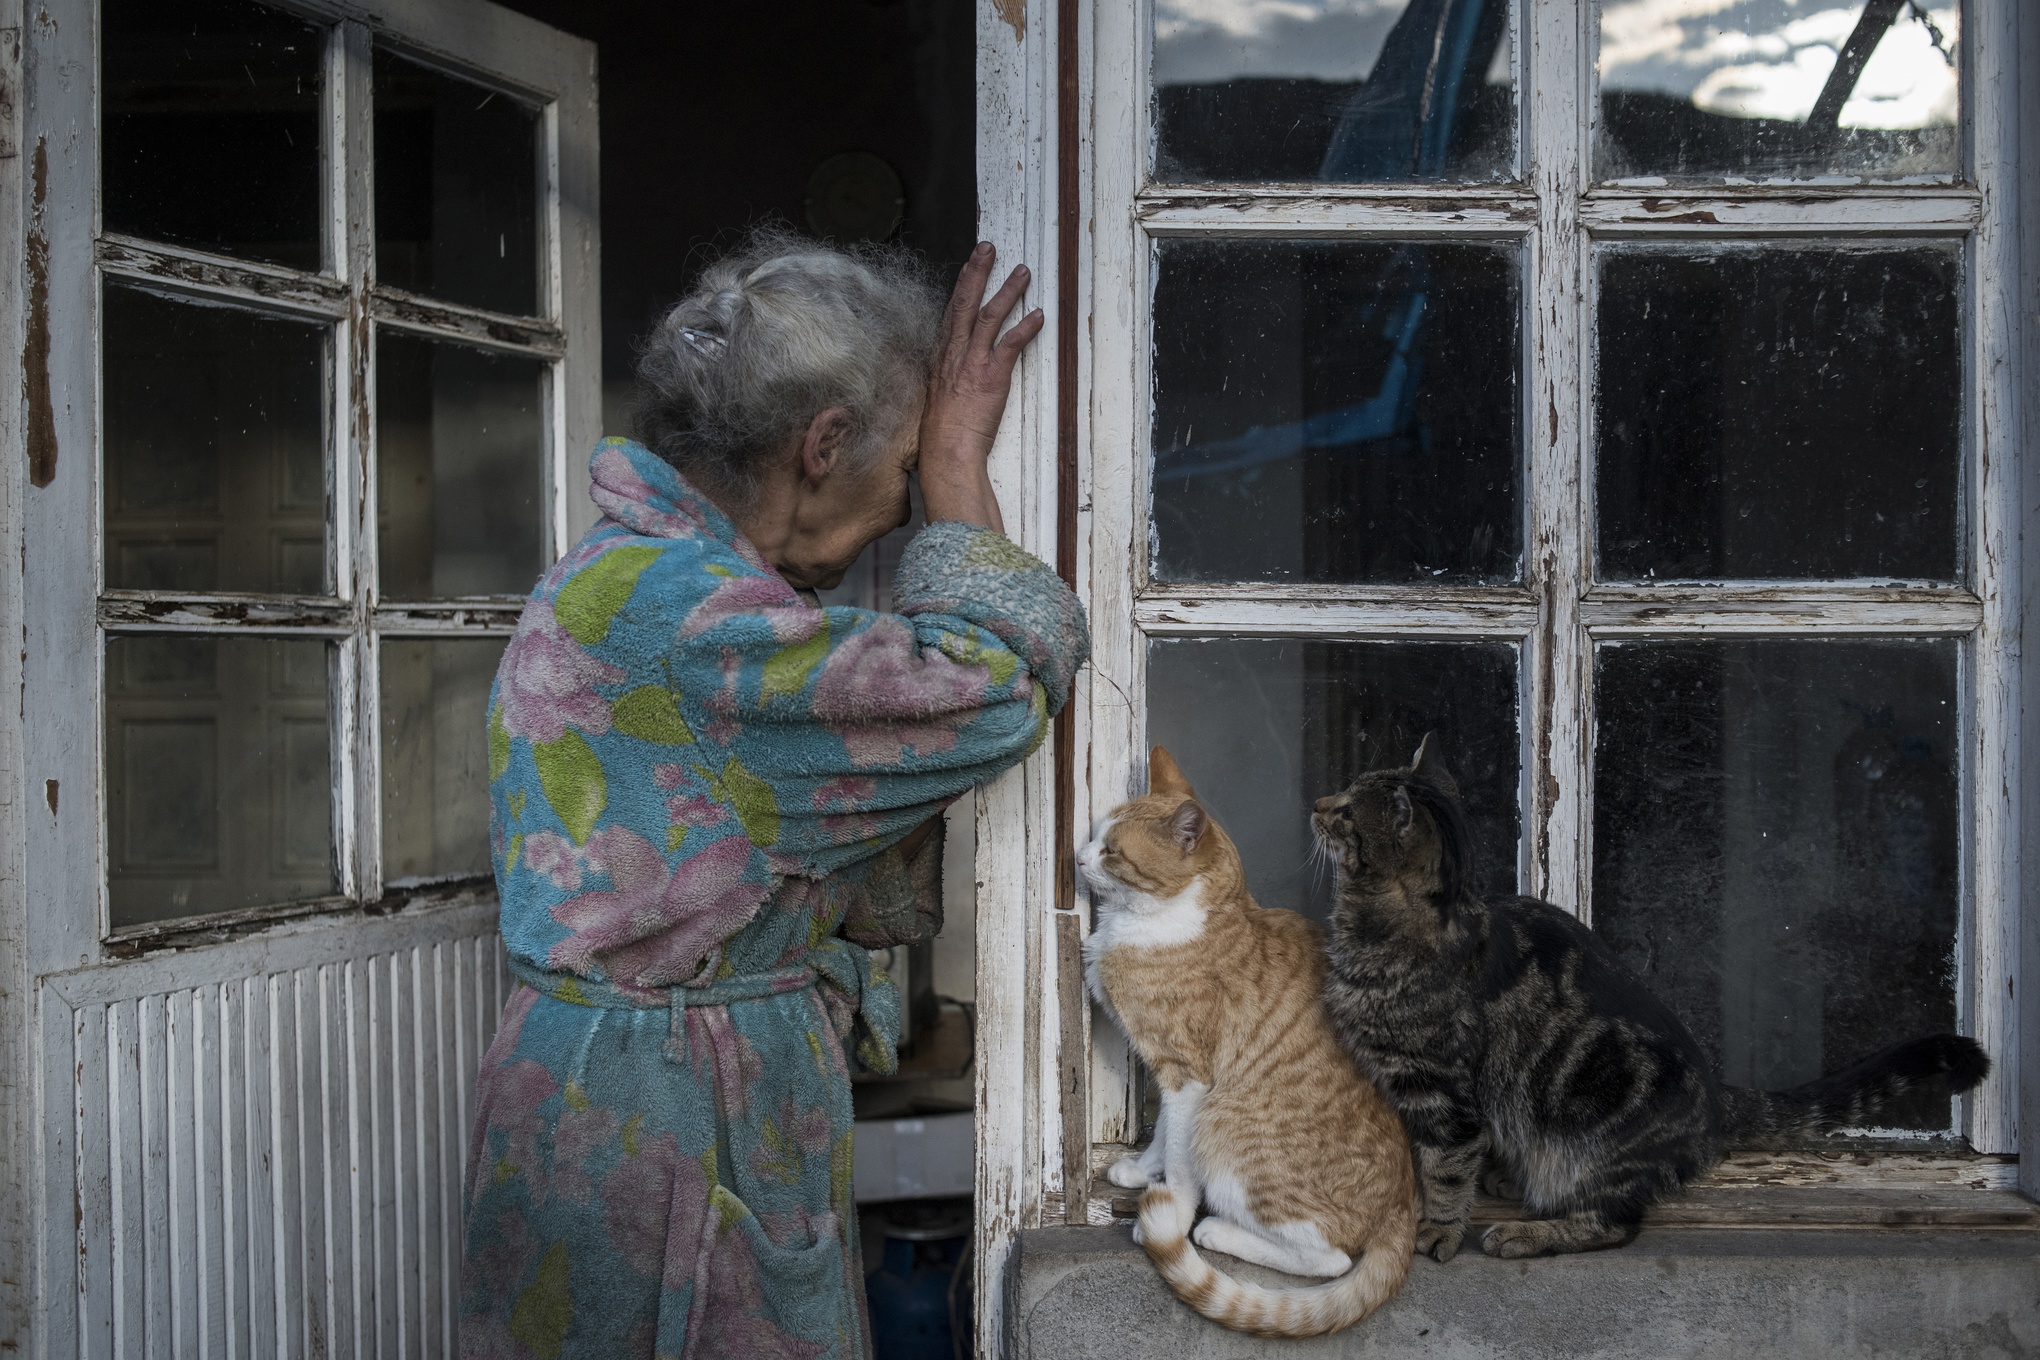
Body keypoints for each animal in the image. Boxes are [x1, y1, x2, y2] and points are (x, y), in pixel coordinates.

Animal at [1085, 750, 1419, 1337]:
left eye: (1112, 851)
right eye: (1094, 836)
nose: (1077, 858)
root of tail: (1405, 1208)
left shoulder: (1188, 1074)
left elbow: (1181, 1160)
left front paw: (1170, 1212)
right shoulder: (1173, 1074)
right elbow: (1164, 1133)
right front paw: (1142, 1171)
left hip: (1222, 1124)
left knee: (1331, 1259)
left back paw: (1214, 1231)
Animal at [1321, 734, 1991, 1264]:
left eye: (1349, 810)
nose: (1318, 805)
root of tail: (1718, 1096)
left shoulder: (1442, 1094)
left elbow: (1442, 1169)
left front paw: (1436, 1230)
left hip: (1591, 1138)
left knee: (1617, 1223)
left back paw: (1527, 1233)